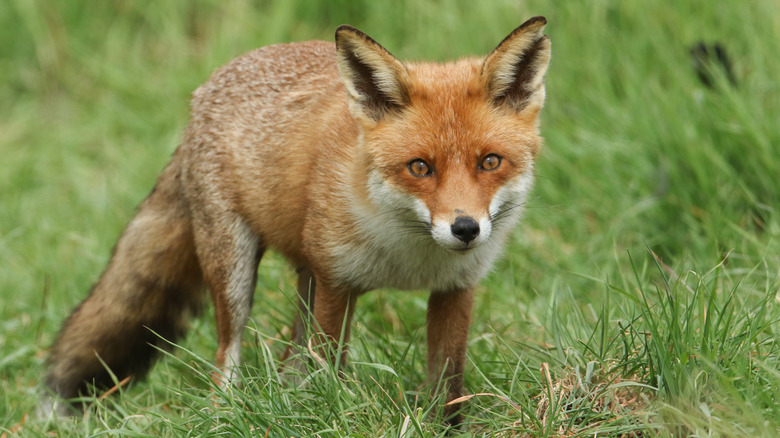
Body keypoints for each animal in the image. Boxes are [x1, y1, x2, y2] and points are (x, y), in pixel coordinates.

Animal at [41, 17, 548, 424]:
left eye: (490, 162)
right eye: (420, 167)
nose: (465, 228)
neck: (409, 254)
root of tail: (207, 87)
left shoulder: (455, 289)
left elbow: (448, 386)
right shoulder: (337, 283)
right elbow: (330, 371)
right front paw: (334, 416)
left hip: (306, 278)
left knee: (289, 361)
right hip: (236, 272)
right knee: (228, 356)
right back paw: (227, 413)